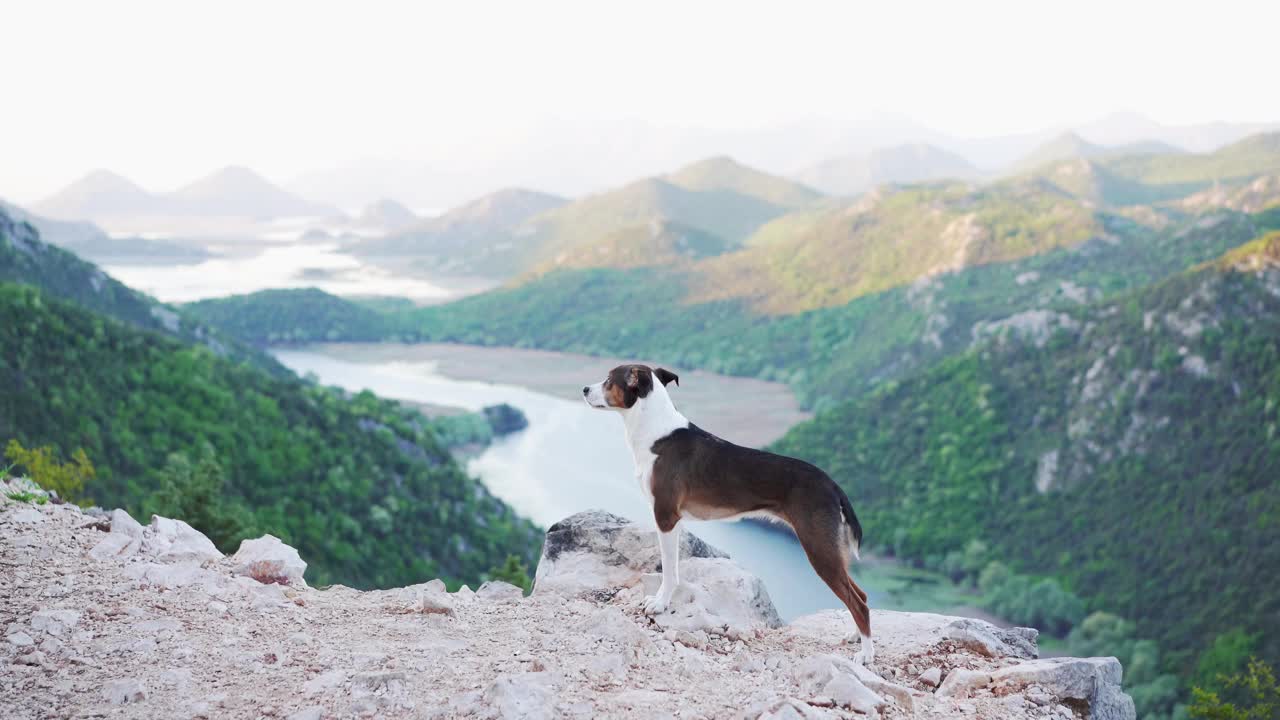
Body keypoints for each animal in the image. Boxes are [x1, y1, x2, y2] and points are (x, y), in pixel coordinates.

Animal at [581, 363, 870, 661]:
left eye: (608, 380)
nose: (584, 389)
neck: (655, 431)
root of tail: (832, 485)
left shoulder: (665, 515)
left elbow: (669, 570)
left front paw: (660, 603)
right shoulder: (674, 520)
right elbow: (675, 566)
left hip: (818, 548)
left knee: (859, 603)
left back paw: (866, 654)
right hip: (829, 549)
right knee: (860, 595)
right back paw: (854, 636)